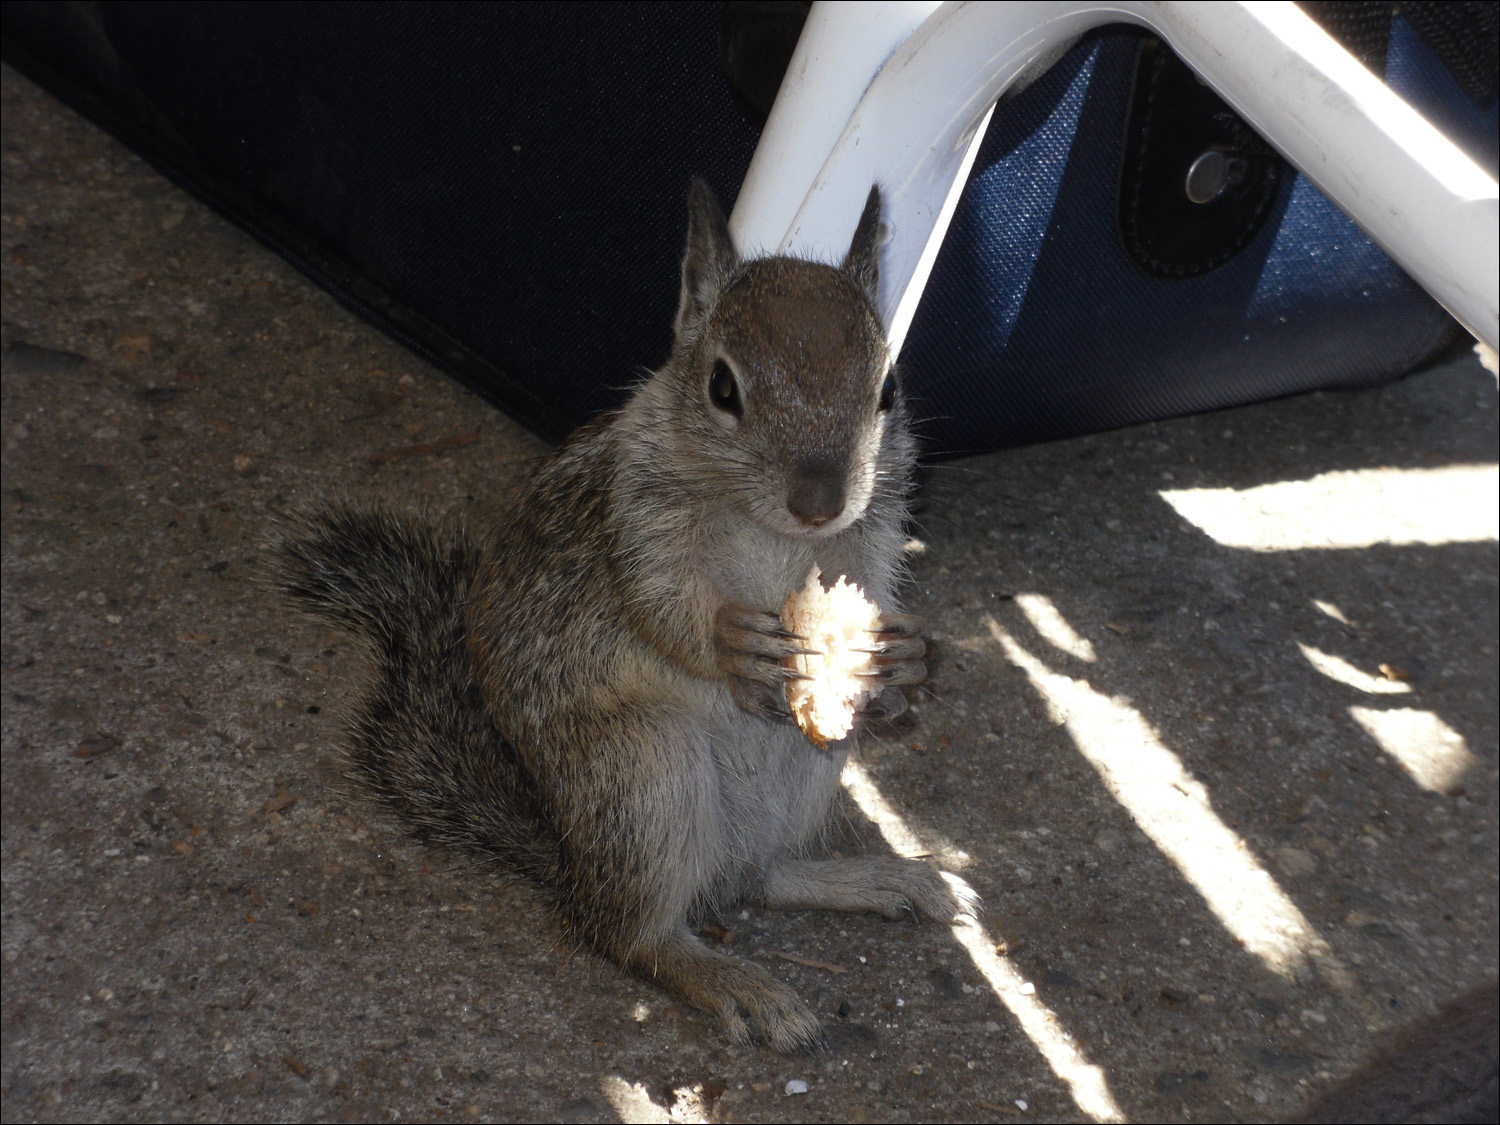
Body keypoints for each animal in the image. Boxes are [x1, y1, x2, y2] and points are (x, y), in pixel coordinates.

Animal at [274, 180, 978, 1056]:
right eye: (721, 388)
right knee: (630, 934)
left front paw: (905, 664)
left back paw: (879, 875)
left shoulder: (872, 538)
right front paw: (728, 641)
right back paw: (729, 978)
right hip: (645, 770)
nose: (819, 500)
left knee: (758, 878)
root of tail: (570, 864)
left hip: (808, 765)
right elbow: (658, 607)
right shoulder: (633, 521)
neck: (778, 537)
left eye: (888, 390)